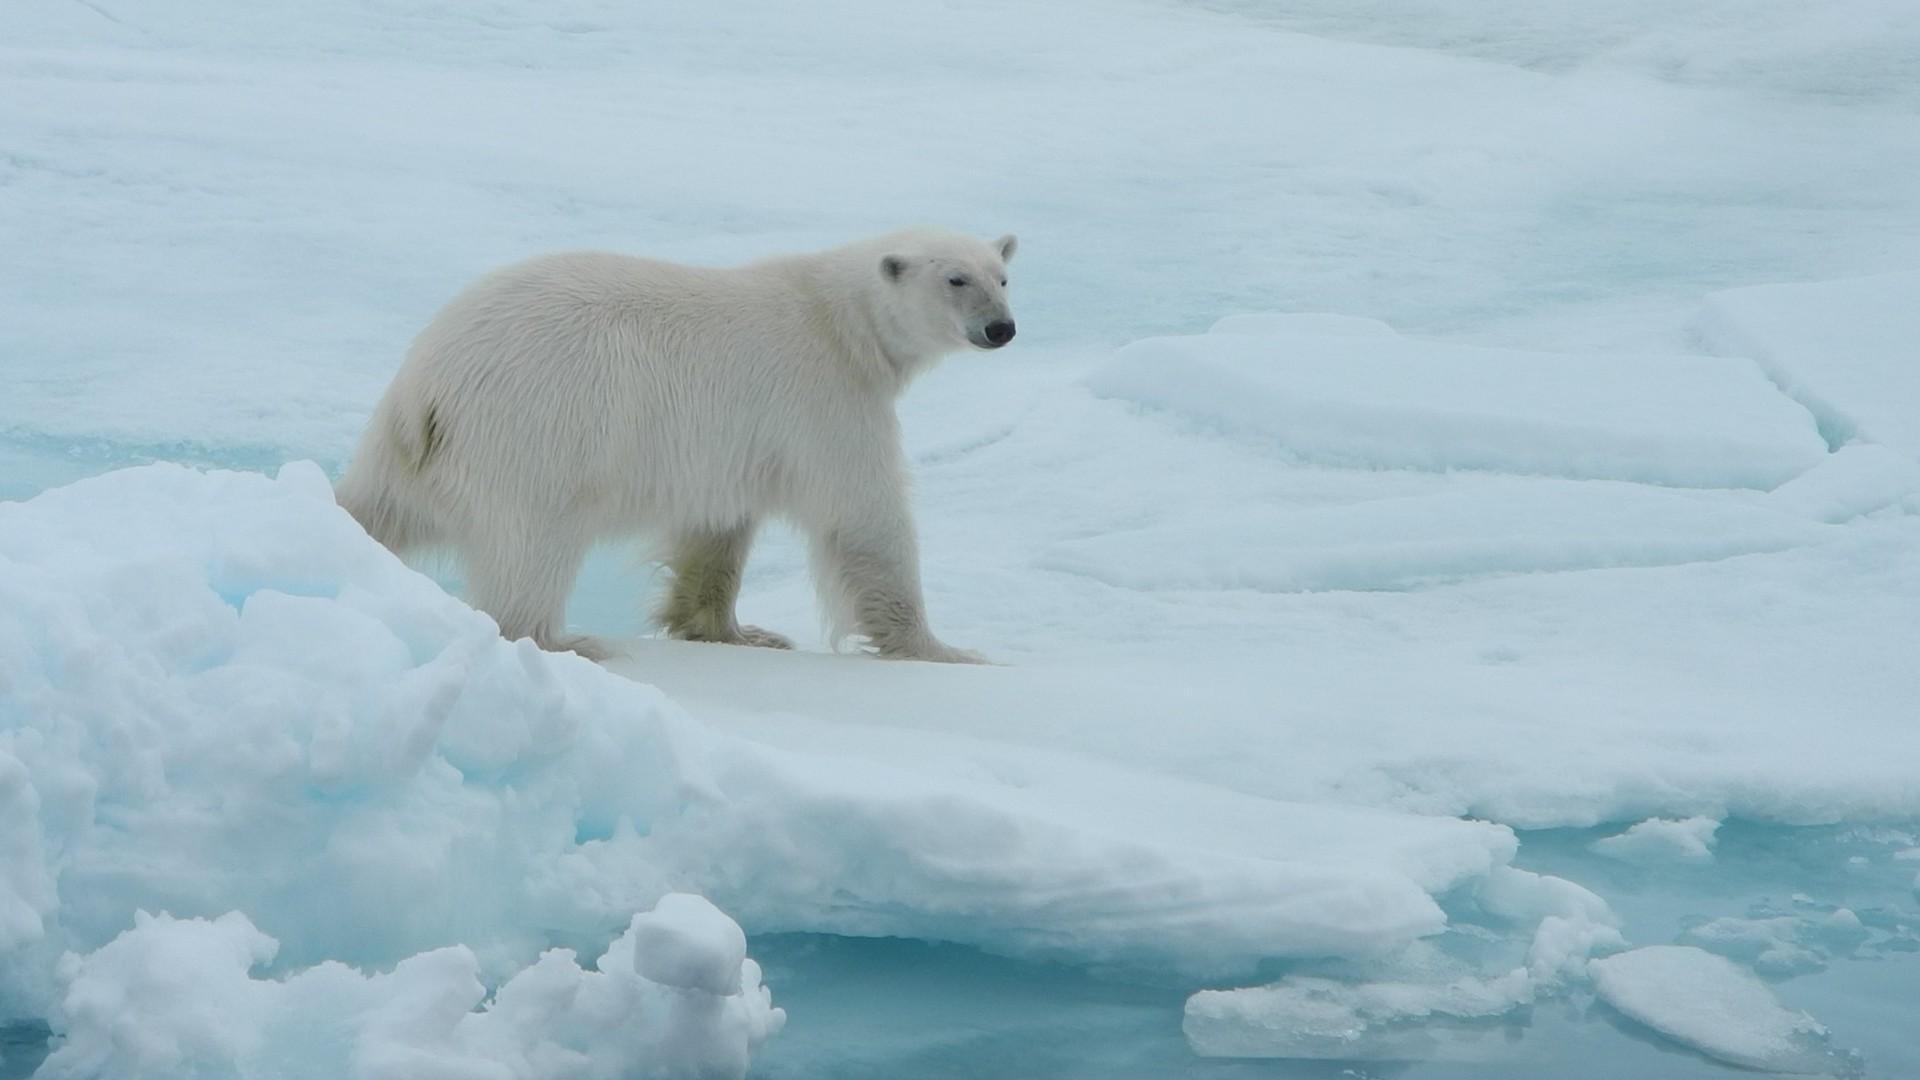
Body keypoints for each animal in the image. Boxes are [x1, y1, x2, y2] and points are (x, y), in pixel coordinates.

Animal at [337, 230, 1021, 661]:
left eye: (1003, 276)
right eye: (956, 278)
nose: (1001, 328)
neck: (837, 320)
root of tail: (426, 384)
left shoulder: (737, 439)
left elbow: (717, 530)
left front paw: (738, 633)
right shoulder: (824, 398)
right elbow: (864, 517)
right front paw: (945, 650)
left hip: (407, 455)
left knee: (376, 509)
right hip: (542, 426)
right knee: (535, 541)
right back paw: (565, 639)